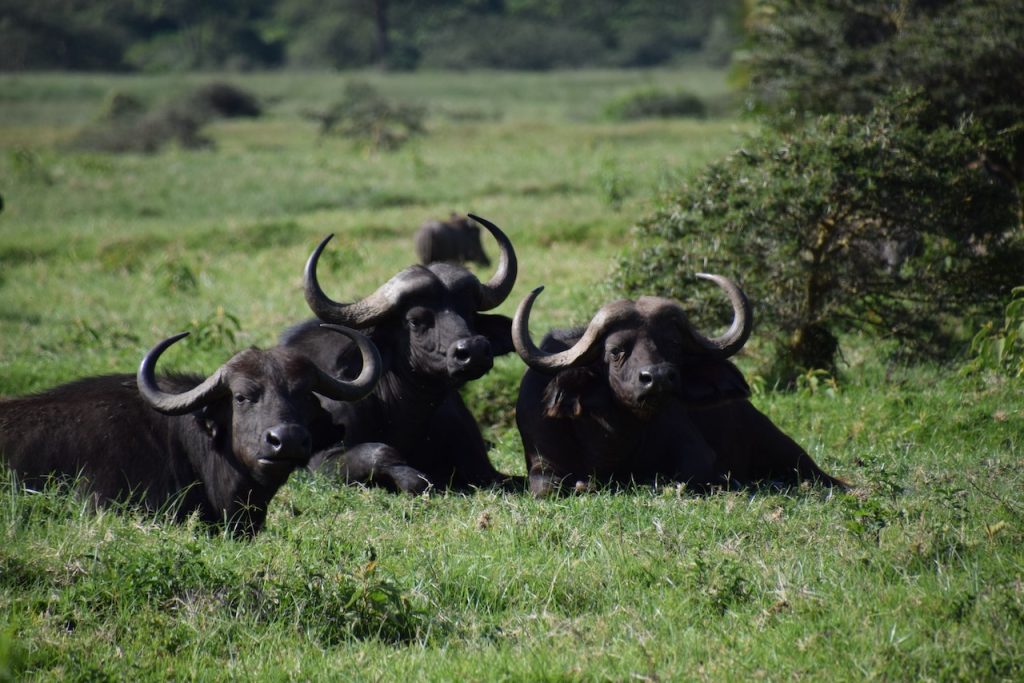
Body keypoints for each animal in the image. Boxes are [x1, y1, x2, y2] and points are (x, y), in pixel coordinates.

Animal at [280, 214, 516, 491]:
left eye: (468, 312)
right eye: (415, 320)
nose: (474, 350)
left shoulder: (483, 467)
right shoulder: (322, 460)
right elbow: (384, 455)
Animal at [509, 276, 839, 497]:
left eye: (674, 345)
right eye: (615, 351)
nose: (657, 377)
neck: (612, 439)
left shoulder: (699, 458)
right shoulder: (543, 461)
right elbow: (548, 487)